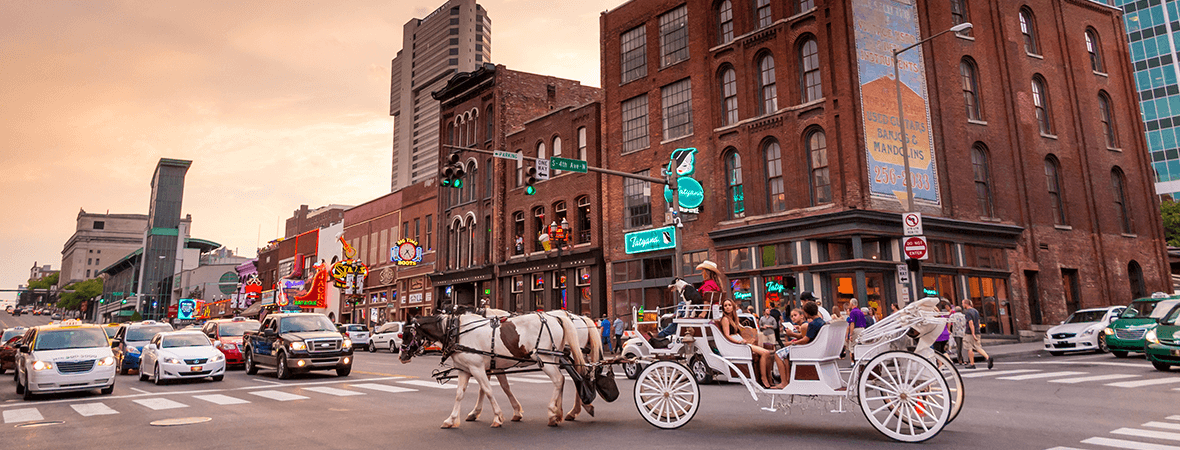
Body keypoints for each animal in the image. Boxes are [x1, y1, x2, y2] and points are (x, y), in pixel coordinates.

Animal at [401, 309, 585, 425]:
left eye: (407, 333)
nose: (401, 356)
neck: (456, 332)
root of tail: (555, 318)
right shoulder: (465, 370)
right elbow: (460, 394)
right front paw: (451, 420)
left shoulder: (477, 368)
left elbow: (488, 390)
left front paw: (498, 417)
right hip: (554, 358)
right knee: (562, 380)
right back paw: (559, 413)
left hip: (545, 359)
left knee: (559, 380)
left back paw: (553, 413)